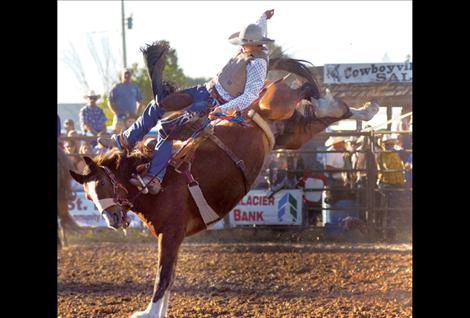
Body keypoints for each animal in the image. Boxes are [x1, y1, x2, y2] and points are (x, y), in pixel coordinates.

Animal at [69, 41, 378, 316]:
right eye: (88, 197)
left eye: (103, 184)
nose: (112, 219)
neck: (153, 181)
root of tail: (253, 103)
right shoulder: (173, 238)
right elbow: (169, 280)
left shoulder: (170, 235)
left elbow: (162, 278)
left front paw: (148, 313)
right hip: (292, 133)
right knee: (316, 114)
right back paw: (366, 109)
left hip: (277, 104)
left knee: (306, 93)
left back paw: (356, 105)